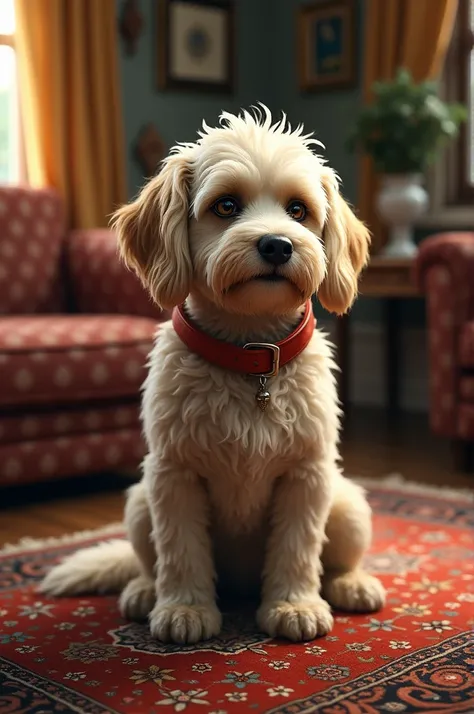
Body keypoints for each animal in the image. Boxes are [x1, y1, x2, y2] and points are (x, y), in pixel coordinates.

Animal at [41, 107, 386, 644]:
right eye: (226, 205)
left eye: (298, 210)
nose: (277, 245)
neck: (249, 355)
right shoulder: (174, 474)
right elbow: (180, 550)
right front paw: (184, 609)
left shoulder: (306, 474)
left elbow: (298, 548)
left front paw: (294, 604)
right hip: (139, 503)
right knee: (147, 561)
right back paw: (144, 591)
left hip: (347, 504)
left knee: (336, 561)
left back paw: (352, 583)